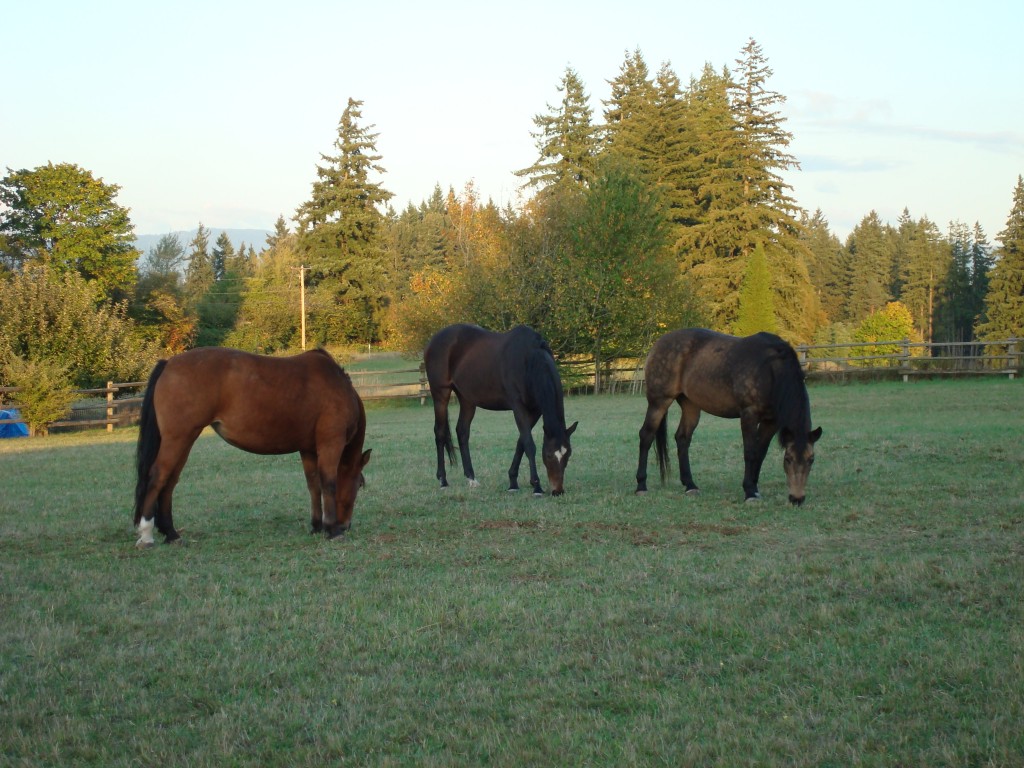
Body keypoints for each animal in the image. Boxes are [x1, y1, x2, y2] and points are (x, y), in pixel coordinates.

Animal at [133, 347, 371, 546]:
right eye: (359, 484)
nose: (345, 525)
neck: (337, 385)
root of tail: (169, 363)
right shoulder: (330, 443)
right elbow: (329, 484)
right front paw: (332, 530)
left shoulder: (309, 449)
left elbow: (314, 486)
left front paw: (317, 526)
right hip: (178, 438)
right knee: (158, 477)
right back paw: (146, 535)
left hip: (184, 440)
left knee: (170, 481)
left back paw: (171, 533)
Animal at [424, 324, 578, 496]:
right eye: (549, 455)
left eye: (568, 455)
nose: (558, 491)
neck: (529, 360)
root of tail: (434, 340)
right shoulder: (518, 407)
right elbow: (529, 444)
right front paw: (536, 486)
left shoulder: (535, 411)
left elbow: (521, 443)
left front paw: (513, 482)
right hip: (440, 394)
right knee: (440, 433)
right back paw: (443, 480)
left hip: (467, 399)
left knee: (462, 432)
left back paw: (471, 478)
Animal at [635, 328, 822, 504]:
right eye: (788, 459)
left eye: (811, 459)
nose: (797, 498)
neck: (771, 369)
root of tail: (659, 343)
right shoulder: (749, 414)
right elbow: (750, 452)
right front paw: (749, 492)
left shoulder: (771, 421)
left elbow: (760, 453)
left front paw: (755, 488)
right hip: (659, 402)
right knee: (646, 435)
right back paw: (641, 485)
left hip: (690, 405)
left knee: (682, 438)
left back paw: (690, 485)